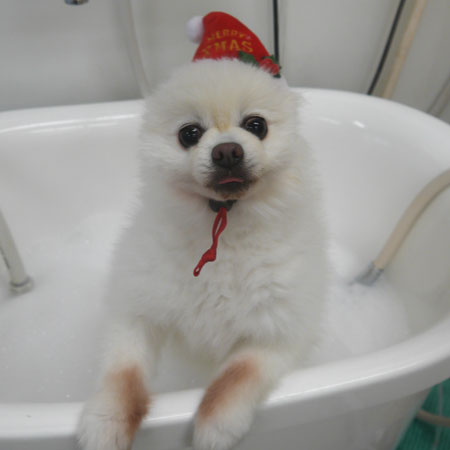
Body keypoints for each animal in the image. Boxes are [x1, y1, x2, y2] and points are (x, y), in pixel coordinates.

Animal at [77, 58, 329, 450]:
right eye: (189, 133)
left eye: (256, 125)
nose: (227, 151)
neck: (224, 226)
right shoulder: (137, 311)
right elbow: (123, 372)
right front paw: (106, 420)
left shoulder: (278, 330)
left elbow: (237, 375)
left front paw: (216, 424)